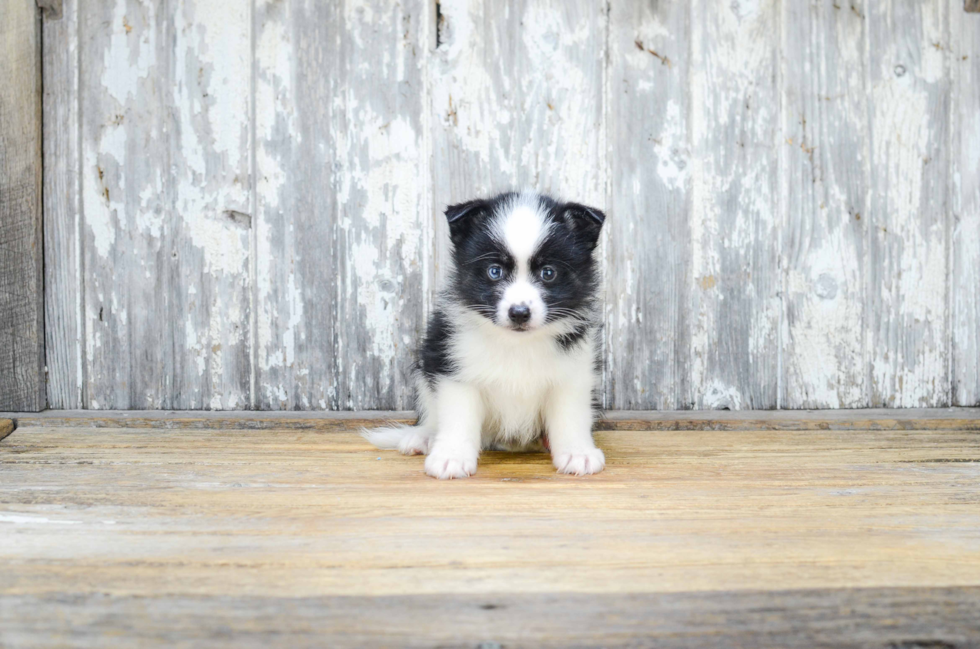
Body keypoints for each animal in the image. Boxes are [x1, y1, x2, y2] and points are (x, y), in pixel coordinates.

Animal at [366, 190, 604, 478]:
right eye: (494, 271)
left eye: (548, 273)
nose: (519, 313)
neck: (516, 343)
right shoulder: (455, 369)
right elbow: (458, 417)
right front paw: (451, 456)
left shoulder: (573, 374)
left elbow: (571, 416)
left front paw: (577, 453)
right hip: (426, 368)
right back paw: (423, 436)